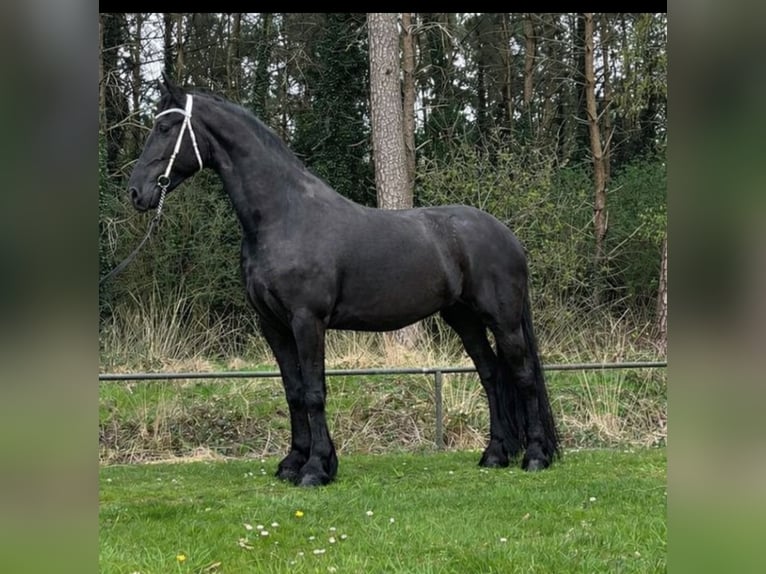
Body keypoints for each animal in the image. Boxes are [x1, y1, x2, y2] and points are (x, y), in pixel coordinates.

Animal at [127, 73, 559, 486]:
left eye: (165, 127)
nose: (136, 192)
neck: (284, 216)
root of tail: (507, 235)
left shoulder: (307, 321)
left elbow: (314, 392)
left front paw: (316, 469)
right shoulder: (273, 325)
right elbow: (293, 392)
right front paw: (293, 463)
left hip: (502, 320)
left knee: (523, 377)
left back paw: (536, 457)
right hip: (464, 318)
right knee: (491, 375)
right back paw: (495, 455)